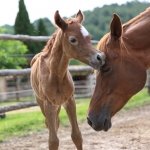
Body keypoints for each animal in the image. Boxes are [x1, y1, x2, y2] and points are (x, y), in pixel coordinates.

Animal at [30, 9, 105, 149]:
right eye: (73, 39)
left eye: (89, 37)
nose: (100, 57)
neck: (57, 74)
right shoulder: (48, 104)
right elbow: (53, 141)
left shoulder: (70, 100)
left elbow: (77, 136)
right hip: (42, 104)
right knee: (51, 125)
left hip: (58, 105)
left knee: (57, 123)